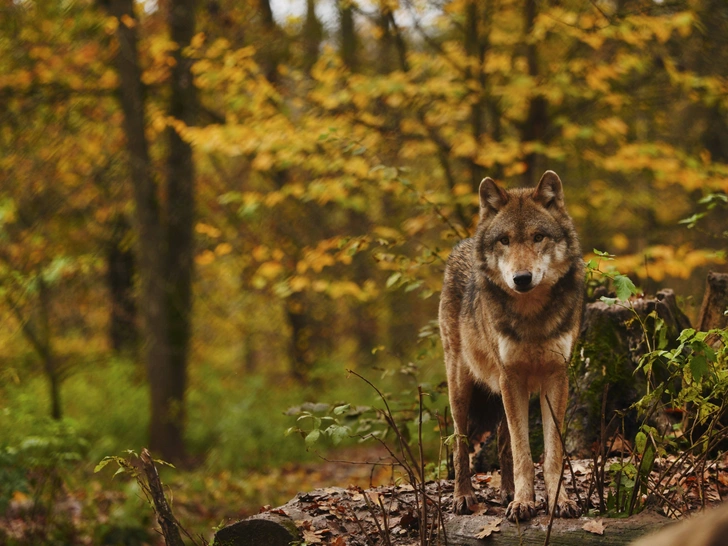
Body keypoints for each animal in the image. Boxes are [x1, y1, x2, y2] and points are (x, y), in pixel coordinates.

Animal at [438, 170, 584, 520]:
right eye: (504, 240)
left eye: (538, 237)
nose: (521, 278)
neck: (531, 318)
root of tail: (464, 242)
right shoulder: (511, 377)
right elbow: (523, 454)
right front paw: (523, 504)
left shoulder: (555, 377)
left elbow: (550, 454)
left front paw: (558, 502)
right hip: (461, 386)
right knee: (460, 446)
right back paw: (463, 497)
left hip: (501, 390)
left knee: (504, 441)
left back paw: (505, 491)